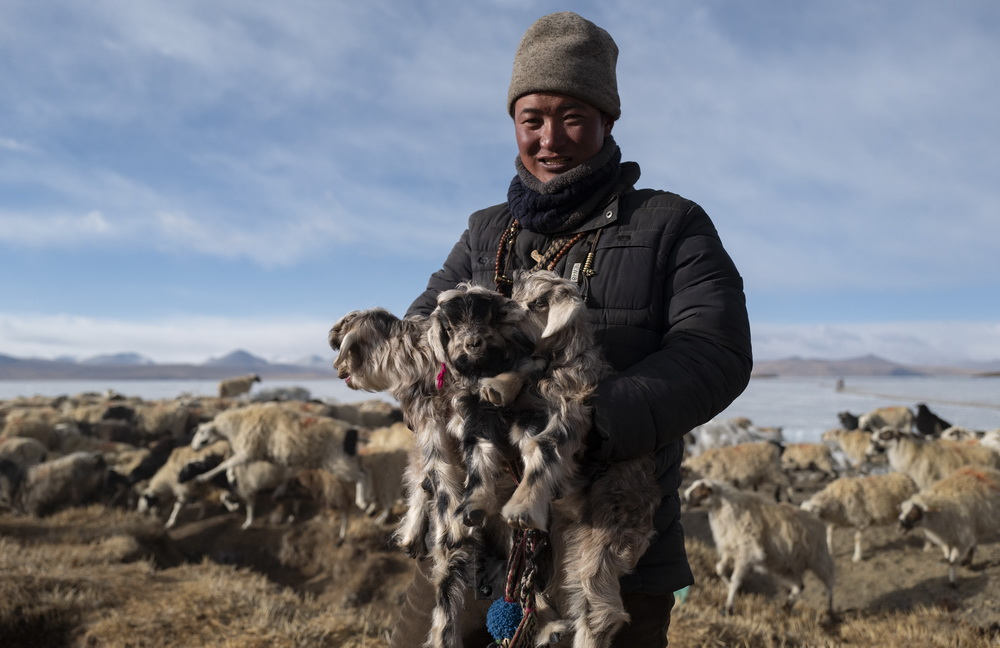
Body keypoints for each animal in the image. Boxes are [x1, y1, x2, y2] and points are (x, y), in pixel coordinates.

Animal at [680, 478, 836, 616]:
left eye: (699, 490)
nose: (683, 499)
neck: (726, 510)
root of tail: (817, 519)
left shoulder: (746, 554)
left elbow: (736, 580)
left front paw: (728, 608)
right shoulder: (730, 550)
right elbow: (720, 569)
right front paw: (728, 587)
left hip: (819, 558)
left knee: (830, 581)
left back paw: (830, 610)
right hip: (786, 565)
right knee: (800, 586)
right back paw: (786, 607)